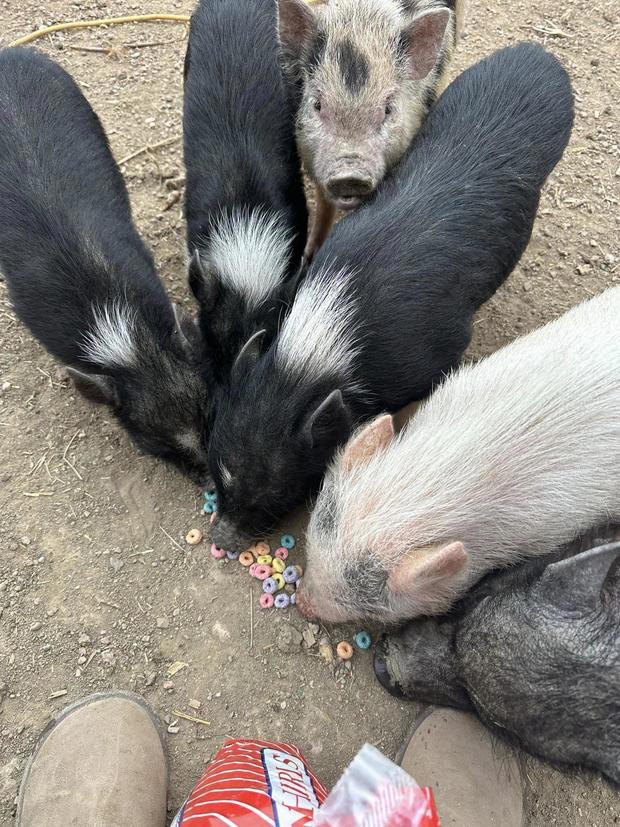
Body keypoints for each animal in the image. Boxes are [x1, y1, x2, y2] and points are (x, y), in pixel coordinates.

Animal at [209, 43, 576, 548]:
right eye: (219, 467)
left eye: (277, 488)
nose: (220, 539)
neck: (314, 360)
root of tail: (540, 57)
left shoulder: (434, 353)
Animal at [278, 0, 462, 258]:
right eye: (317, 104)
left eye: (388, 109)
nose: (349, 176)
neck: (363, 16)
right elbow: (323, 205)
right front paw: (309, 254)